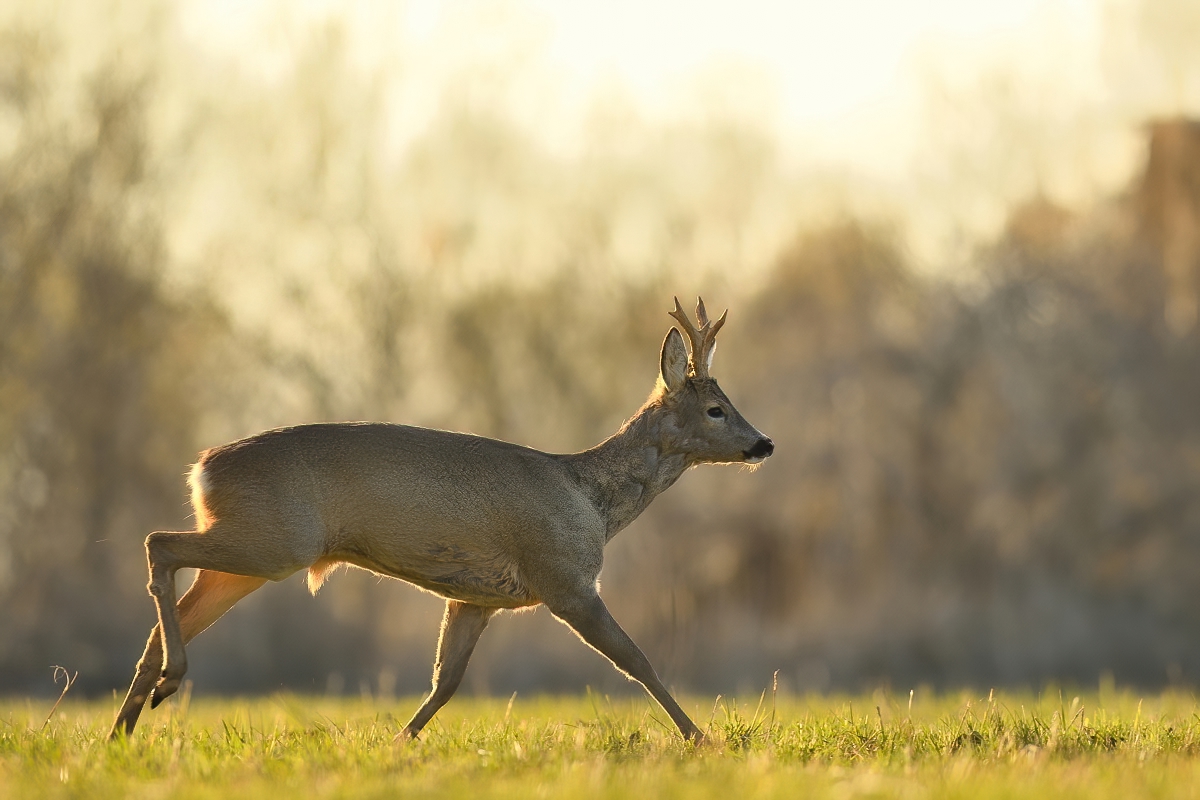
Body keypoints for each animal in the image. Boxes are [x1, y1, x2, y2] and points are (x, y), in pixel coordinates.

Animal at [110, 297, 768, 743]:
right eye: (716, 408)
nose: (763, 443)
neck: (592, 502)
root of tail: (202, 471)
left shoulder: (473, 596)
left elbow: (445, 682)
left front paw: (397, 743)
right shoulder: (563, 578)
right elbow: (637, 660)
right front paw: (701, 740)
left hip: (250, 554)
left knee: (165, 610)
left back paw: (126, 729)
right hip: (275, 543)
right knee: (159, 542)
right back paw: (165, 686)